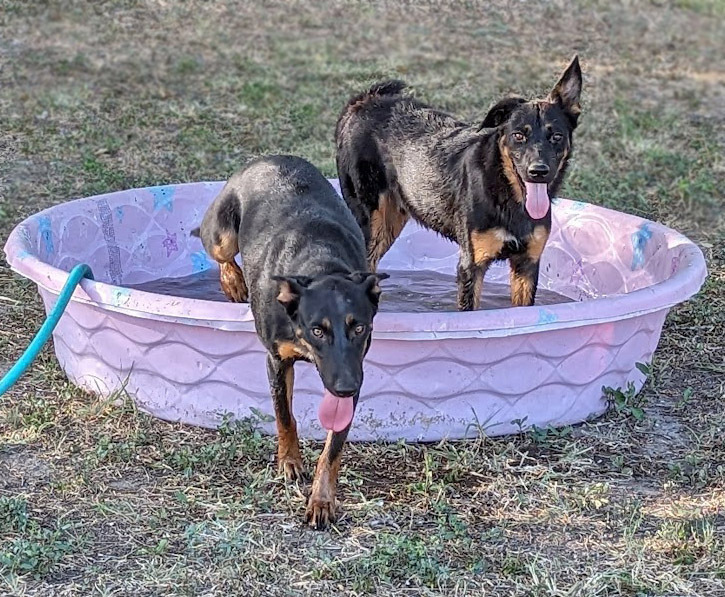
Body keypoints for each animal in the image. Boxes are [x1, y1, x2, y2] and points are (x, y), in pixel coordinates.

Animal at [191, 155, 384, 528]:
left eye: (360, 328)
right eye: (317, 330)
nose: (345, 388)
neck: (322, 265)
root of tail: (269, 158)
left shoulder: (355, 371)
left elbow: (333, 446)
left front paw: (321, 499)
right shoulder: (276, 360)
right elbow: (283, 414)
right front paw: (290, 461)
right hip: (222, 233)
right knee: (218, 250)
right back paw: (233, 281)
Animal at [336, 54, 584, 312]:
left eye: (556, 136)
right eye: (518, 135)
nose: (538, 171)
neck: (506, 191)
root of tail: (363, 100)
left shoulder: (527, 264)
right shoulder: (471, 266)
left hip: (391, 222)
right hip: (369, 225)